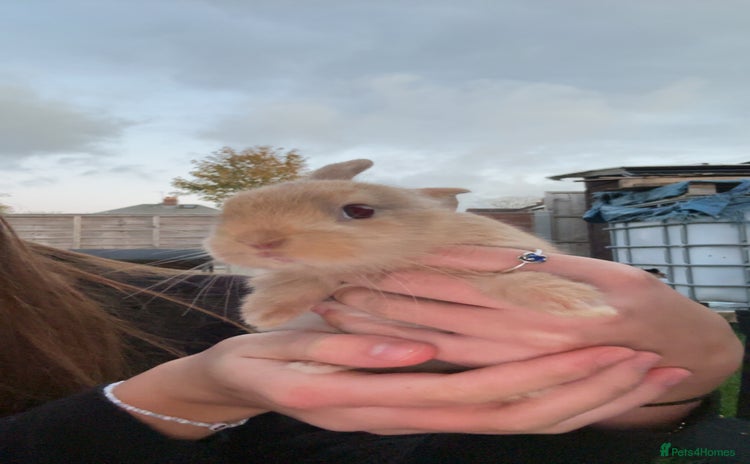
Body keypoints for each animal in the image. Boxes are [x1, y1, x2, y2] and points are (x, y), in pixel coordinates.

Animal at [205, 159, 617, 331]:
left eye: (359, 211)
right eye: (231, 206)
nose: (260, 241)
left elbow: (505, 281)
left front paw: (582, 303)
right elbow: (311, 279)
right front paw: (265, 311)